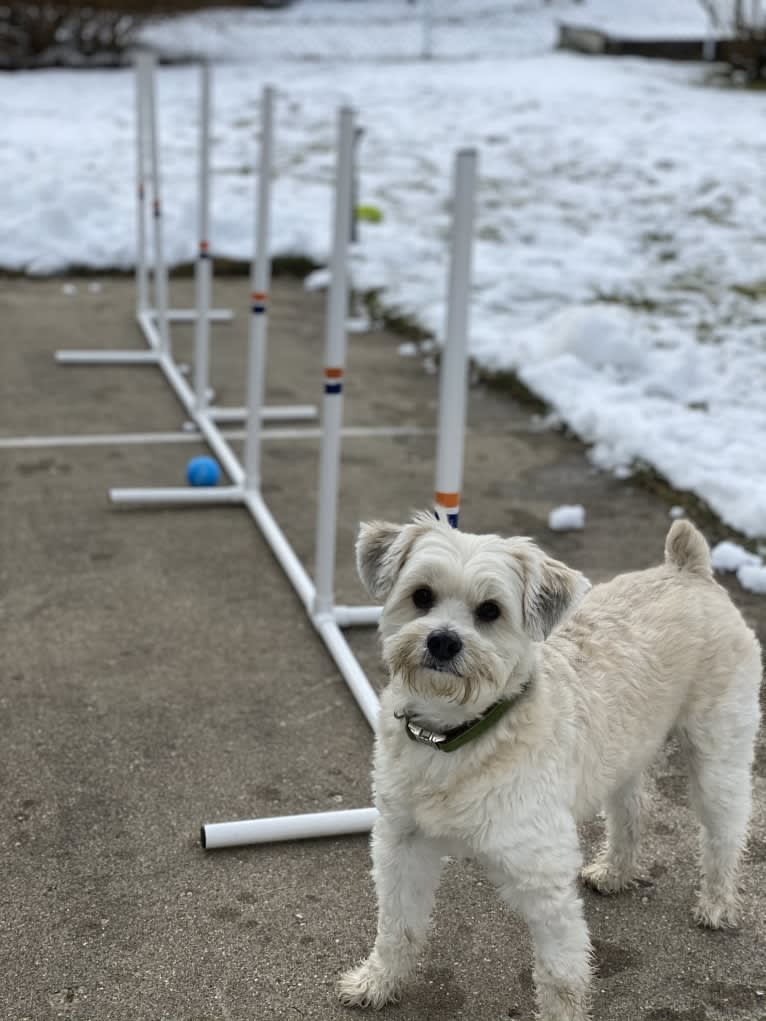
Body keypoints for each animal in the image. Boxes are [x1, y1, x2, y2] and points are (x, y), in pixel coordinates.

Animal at [341, 518, 763, 1021]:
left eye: (490, 610)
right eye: (421, 595)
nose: (442, 641)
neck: (457, 739)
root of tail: (687, 569)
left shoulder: (543, 877)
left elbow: (560, 975)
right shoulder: (401, 846)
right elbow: (396, 928)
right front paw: (377, 983)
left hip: (718, 758)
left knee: (725, 831)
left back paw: (717, 903)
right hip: (625, 755)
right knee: (633, 810)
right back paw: (616, 872)